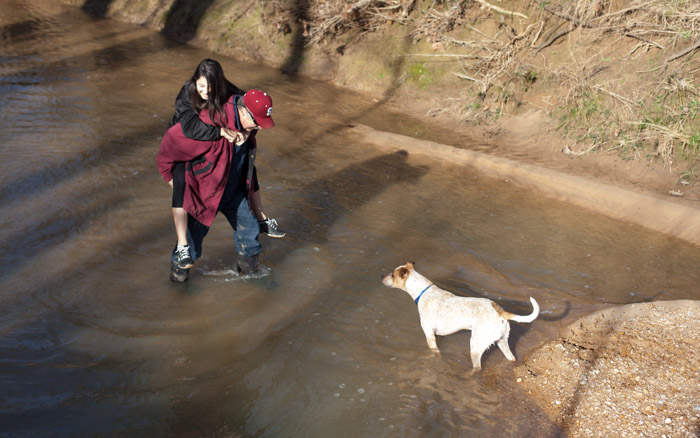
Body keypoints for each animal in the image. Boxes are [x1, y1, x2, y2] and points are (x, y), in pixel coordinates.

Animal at [382, 262, 540, 372]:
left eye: (392, 275)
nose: (381, 276)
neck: (423, 292)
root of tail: (500, 311)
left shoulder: (430, 336)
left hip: (475, 345)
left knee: (477, 368)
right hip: (502, 341)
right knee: (511, 358)